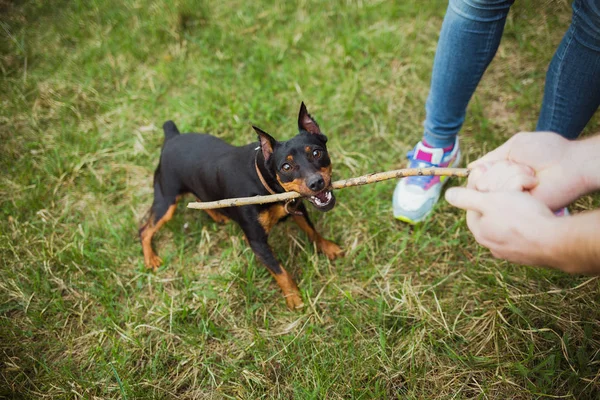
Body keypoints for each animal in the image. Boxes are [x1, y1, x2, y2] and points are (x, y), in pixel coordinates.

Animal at [139, 103, 342, 310]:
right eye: (286, 167)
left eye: (316, 153)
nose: (316, 183)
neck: (266, 182)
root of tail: (171, 136)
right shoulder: (257, 242)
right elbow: (280, 271)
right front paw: (293, 297)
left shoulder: (298, 209)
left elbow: (312, 231)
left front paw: (328, 248)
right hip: (166, 201)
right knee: (144, 230)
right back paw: (151, 259)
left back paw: (218, 216)